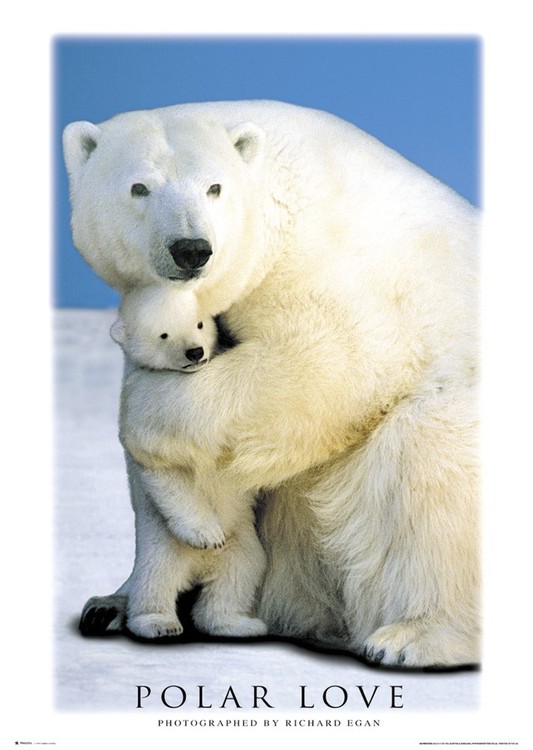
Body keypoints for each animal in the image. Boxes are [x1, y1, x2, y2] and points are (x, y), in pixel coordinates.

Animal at [108, 282, 267, 638]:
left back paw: (237, 623)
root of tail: (197, 570)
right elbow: (169, 474)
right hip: (163, 546)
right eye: (163, 334)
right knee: (155, 580)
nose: (194, 352)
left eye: (200, 324)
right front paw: (207, 535)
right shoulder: (144, 416)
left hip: (241, 543)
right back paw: (157, 623)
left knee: (240, 573)